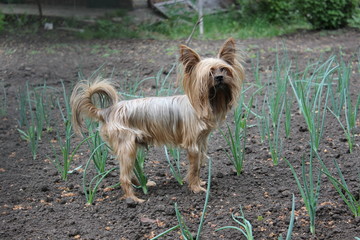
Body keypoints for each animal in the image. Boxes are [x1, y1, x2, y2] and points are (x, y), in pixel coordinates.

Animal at [70, 38, 245, 202]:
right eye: (209, 73)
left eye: (224, 69)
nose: (220, 77)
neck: (203, 105)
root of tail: (107, 111)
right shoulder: (193, 146)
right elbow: (194, 168)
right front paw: (196, 188)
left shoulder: (201, 142)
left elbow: (199, 165)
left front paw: (200, 182)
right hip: (127, 145)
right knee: (124, 176)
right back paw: (133, 198)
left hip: (129, 147)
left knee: (130, 171)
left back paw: (143, 184)